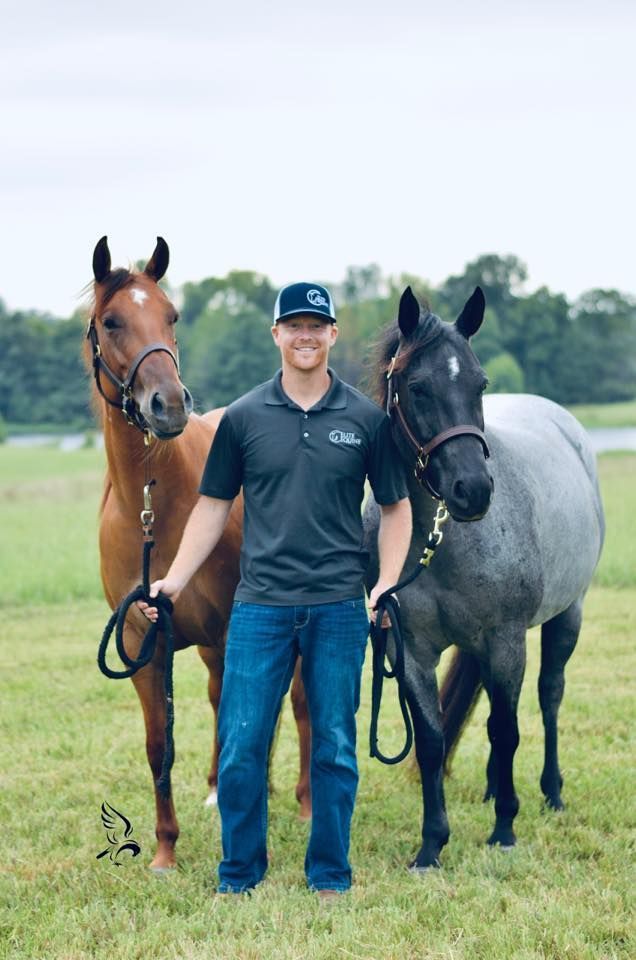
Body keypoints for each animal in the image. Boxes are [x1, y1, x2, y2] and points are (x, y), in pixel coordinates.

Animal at [86, 237, 311, 872]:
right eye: (111, 321)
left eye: (172, 315)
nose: (168, 404)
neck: (154, 511)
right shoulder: (142, 639)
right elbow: (159, 745)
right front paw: (165, 848)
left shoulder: (240, 627)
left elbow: (250, 719)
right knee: (222, 702)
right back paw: (221, 789)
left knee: (298, 705)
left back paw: (305, 803)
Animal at [363, 285, 604, 870]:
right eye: (418, 387)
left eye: (480, 384)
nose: (472, 489)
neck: (438, 540)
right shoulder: (410, 649)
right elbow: (430, 739)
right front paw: (431, 844)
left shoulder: (506, 639)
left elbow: (505, 728)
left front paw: (504, 830)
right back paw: (497, 789)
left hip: (568, 615)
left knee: (548, 695)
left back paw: (550, 792)